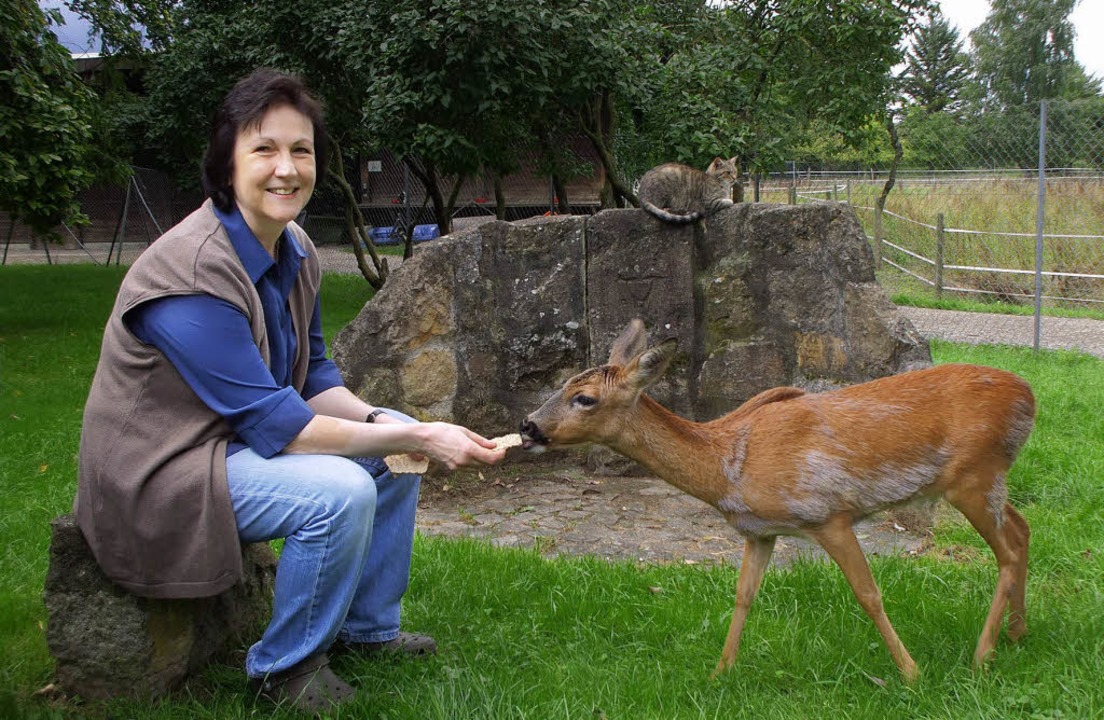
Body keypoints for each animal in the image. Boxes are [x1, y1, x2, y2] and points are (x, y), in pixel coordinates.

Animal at [516, 320, 1033, 680]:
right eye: (562, 383)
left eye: (584, 397)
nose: (528, 426)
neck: (728, 465)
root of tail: (1029, 397)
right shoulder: (759, 532)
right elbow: (744, 595)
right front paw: (719, 672)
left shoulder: (827, 513)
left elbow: (868, 594)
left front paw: (910, 673)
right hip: (986, 480)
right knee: (1022, 529)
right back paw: (1016, 635)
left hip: (973, 476)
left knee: (1007, 550)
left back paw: (981, 656)